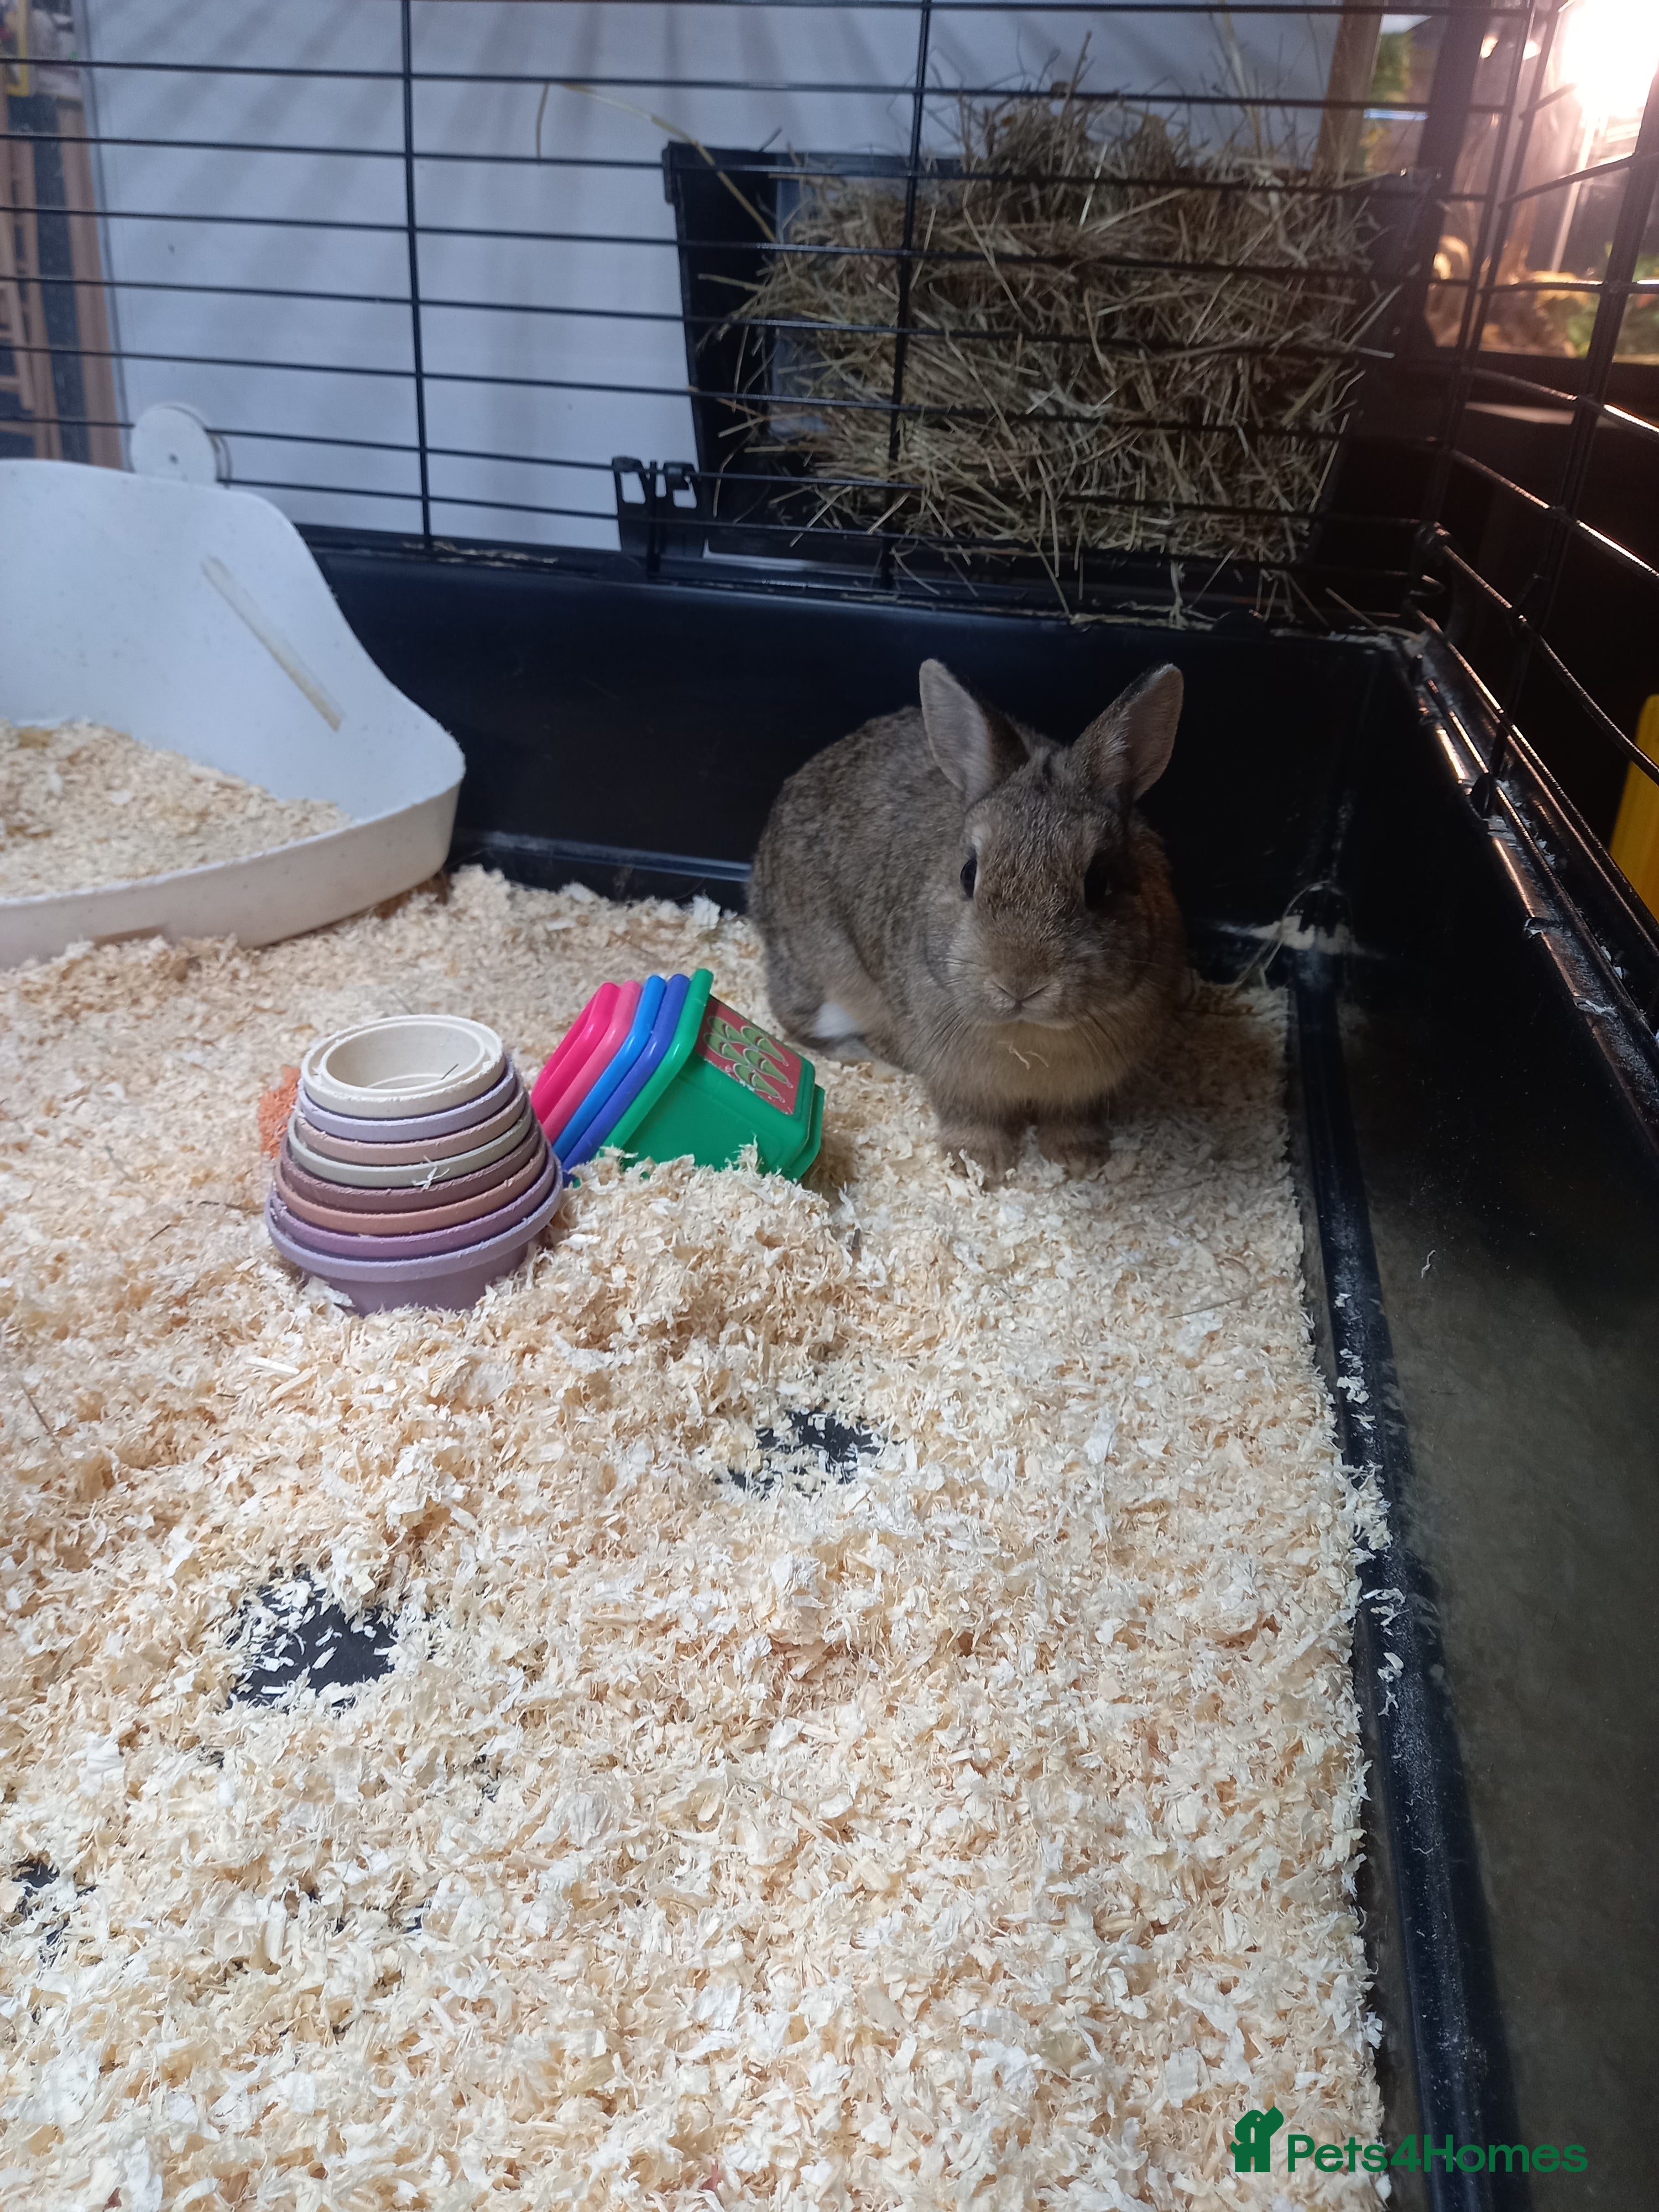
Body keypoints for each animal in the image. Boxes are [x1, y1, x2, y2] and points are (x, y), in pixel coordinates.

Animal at [750, 658, 1185, 1178]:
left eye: (1098, 883)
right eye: (968, 873)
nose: (1020, 984)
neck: (1029, 1034)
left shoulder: (1087, 1088)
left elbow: (1072, 1116)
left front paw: (1078, 1158)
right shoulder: (957, 1077)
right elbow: (971, 1115)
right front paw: (978, 1162)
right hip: (825, 983)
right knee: (802, 1026)